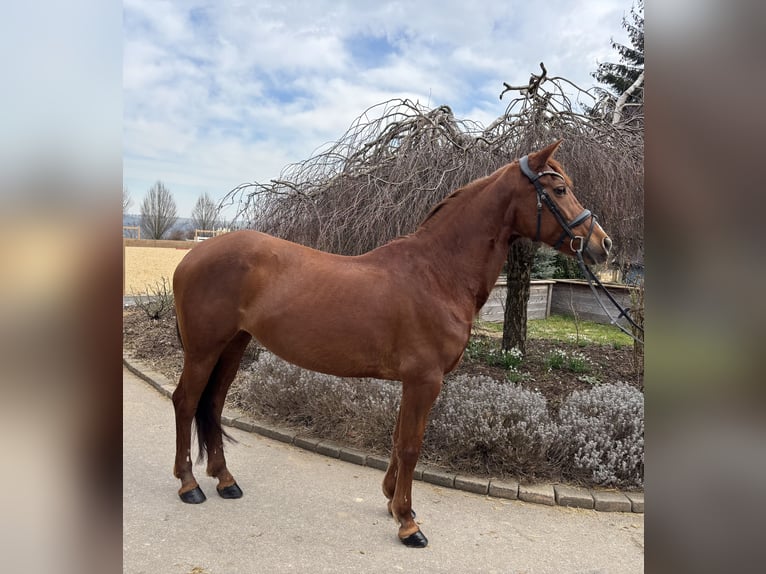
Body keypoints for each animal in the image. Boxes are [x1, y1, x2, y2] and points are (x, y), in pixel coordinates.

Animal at [172, 140, 612, 548]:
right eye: (559, 190)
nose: (602, 244)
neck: (438, 274)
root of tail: (192, 255)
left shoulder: (413, 382)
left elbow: (399, 439)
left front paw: (392, 501)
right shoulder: (424, 380)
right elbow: (412, 446)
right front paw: (408, 523)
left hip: (233, 346)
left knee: (213, 404)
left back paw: (225, 480)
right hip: (203, 350)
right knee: (186, 402)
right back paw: (189, 485)